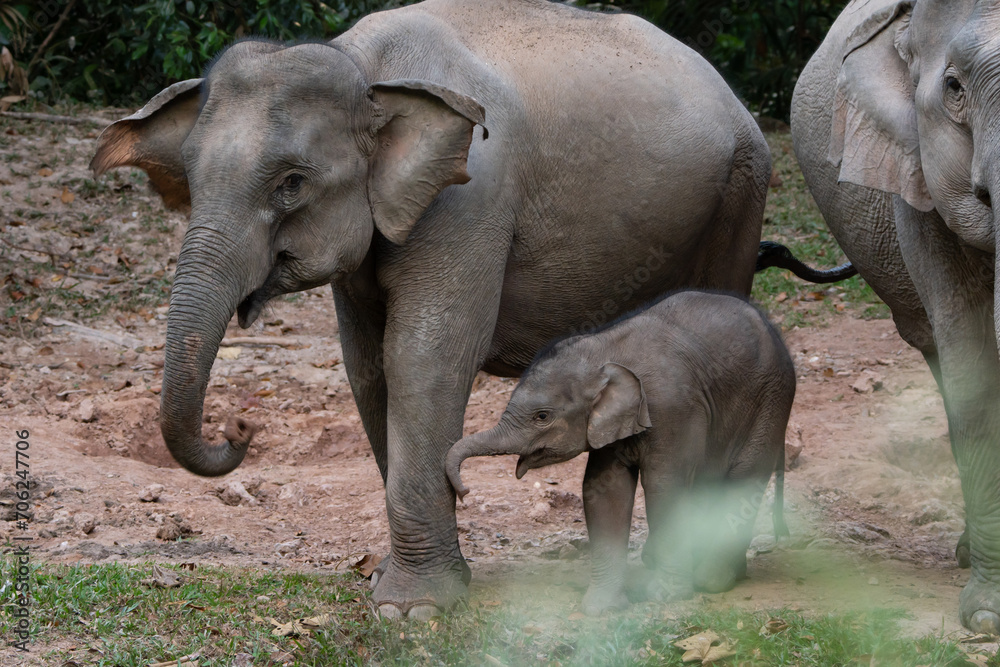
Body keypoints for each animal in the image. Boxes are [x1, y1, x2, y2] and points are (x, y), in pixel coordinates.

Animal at [446, 290, 795, 616]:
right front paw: (601, 609)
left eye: (542, 416)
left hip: (771, 401)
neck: (603, 349)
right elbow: (604, 489)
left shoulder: (674, 410)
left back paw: (713, 579)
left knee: (744, 478)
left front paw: (665, 597)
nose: (463, 492)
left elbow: (664, 486)